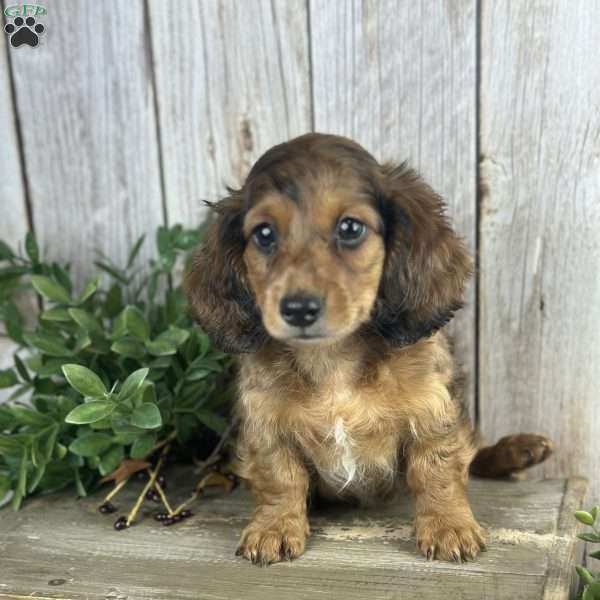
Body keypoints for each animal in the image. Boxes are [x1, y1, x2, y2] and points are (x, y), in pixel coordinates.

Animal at [186, 131, 552, 564]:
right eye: (264, 234)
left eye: (350, 228)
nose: (298, 308)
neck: (333, 361)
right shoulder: (264, 422)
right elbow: (279, 477)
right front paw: (273, 527)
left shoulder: (434, 409)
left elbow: (437, 469)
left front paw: (448, 526)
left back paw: (519, 450)